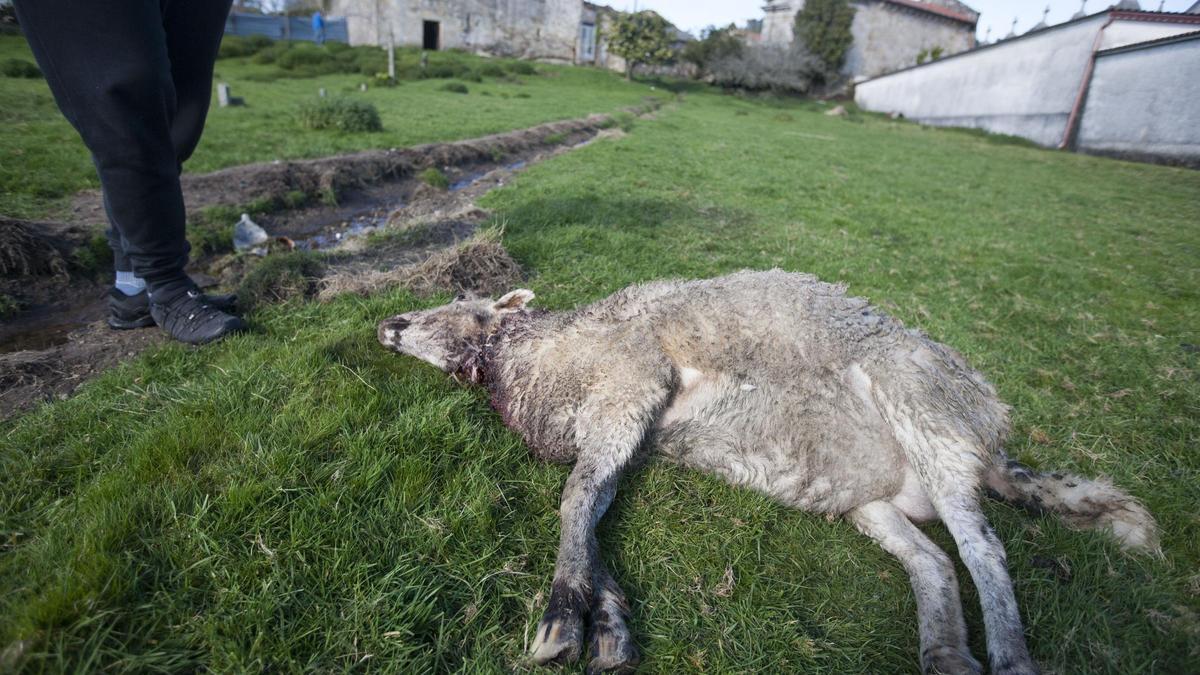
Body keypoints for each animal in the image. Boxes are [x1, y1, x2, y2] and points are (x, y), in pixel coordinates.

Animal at [379, 269, 1156, 672]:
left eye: (451, 305)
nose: (388, 325)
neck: (527, 361)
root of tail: (990, 436)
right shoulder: (621, 427)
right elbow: (593, 508)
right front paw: (609, 626)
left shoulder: (630, 386)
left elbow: (575, 500)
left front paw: (562, 621)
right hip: (875, 500)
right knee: (934, 560)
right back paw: (944, 652)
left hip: (919, 399)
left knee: (984, 547)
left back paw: (1009, 656)